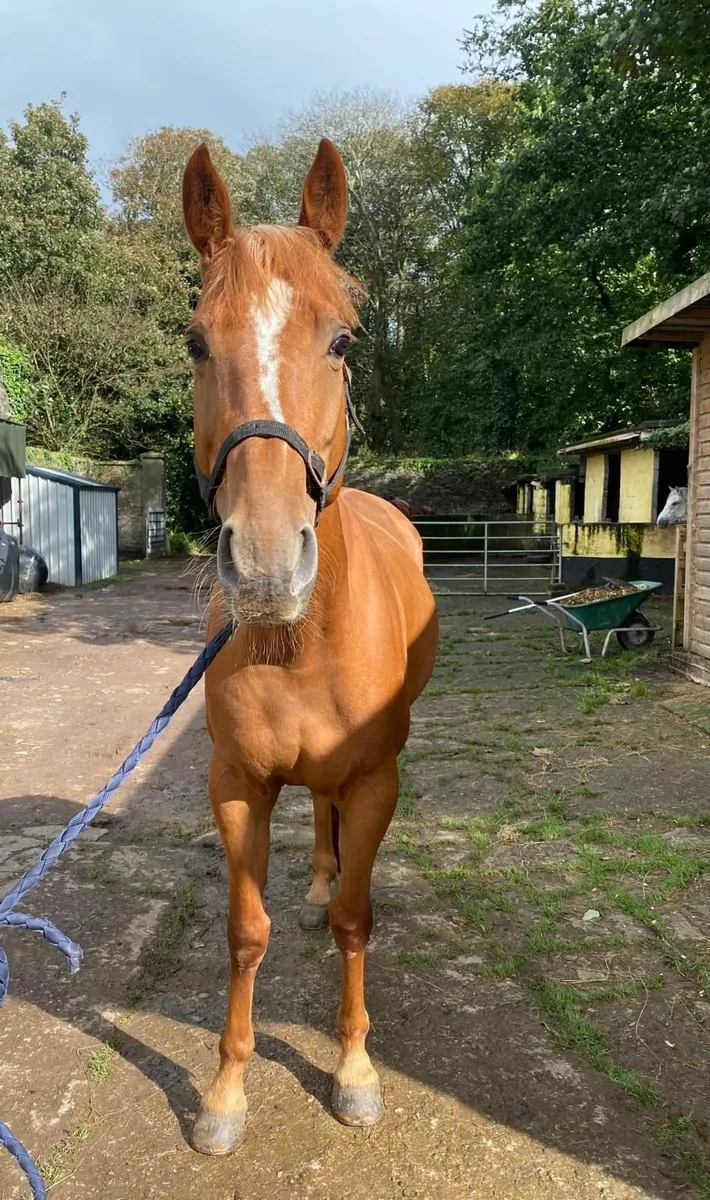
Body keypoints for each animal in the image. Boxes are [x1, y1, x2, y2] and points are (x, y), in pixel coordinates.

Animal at [182, 137, 438, 1155]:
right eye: (195, 342)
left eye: (341, 342)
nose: (261, 562)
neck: (299, 642)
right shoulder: (237, 786)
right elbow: (244, 933)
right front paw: (224, 1093)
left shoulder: (374, 781)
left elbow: (356, 921)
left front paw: (355, 1071)